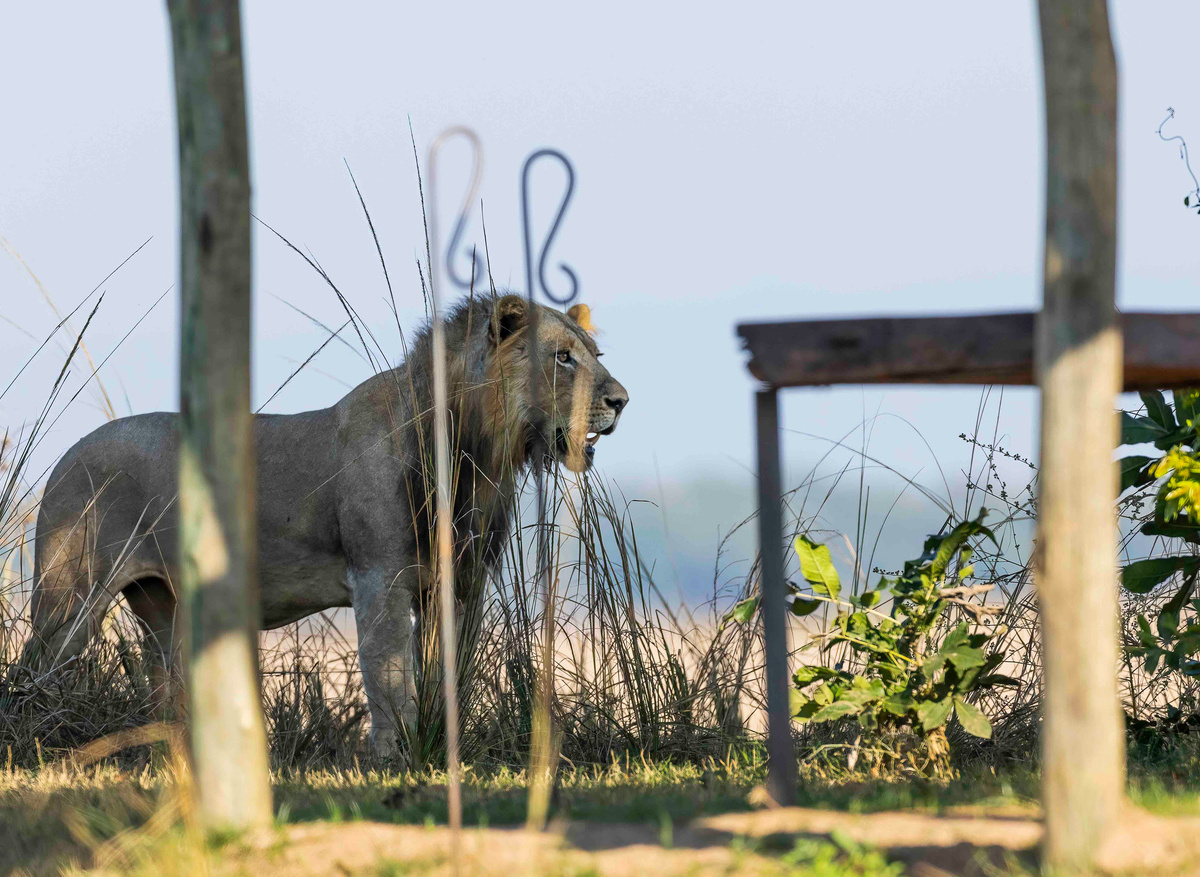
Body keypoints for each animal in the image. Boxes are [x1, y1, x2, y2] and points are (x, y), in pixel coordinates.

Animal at [27, 294, 629, 756]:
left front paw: (444, 746)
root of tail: (65, 457)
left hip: (162, 605)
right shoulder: (379, 578)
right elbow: (389, 677)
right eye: (563, 358)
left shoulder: (461, 583)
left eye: (597, 354)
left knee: (164, 683)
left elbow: (449, 671)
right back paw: (40, 730)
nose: (621, 400)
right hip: (72, 597)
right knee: (39, 666)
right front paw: (393, 756)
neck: (473, 453)